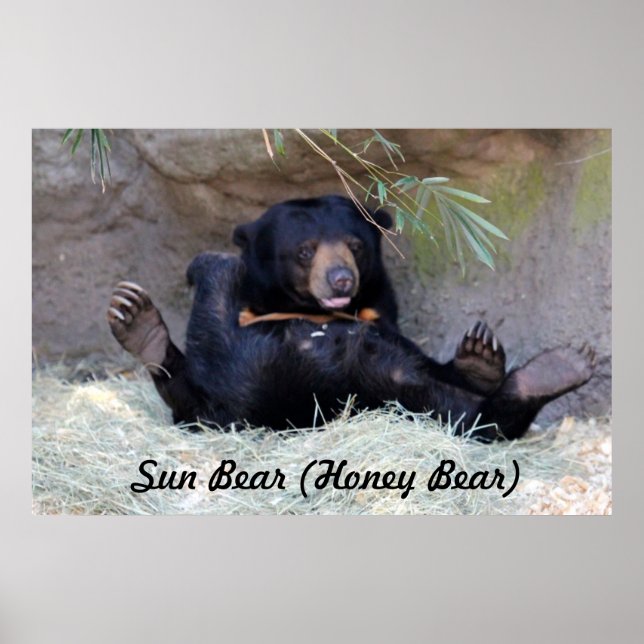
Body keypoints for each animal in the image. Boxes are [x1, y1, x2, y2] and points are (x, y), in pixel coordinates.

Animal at [107, 194, 595, 441]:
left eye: (355, 246)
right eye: (305, 251)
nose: (341, 279)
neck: (312, 310)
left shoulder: (380, 315)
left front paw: (479, 358)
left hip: (407, 394)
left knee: (476, 417)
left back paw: (555, 367)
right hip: (221, 399)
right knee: (193, 375)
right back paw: (139, 316)